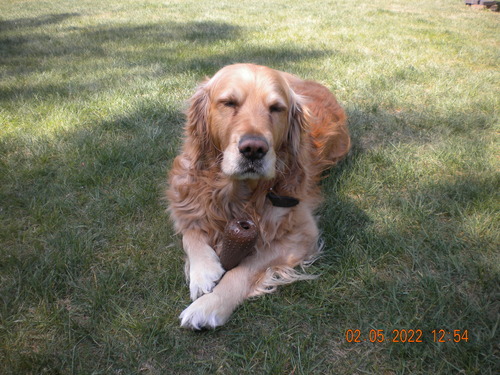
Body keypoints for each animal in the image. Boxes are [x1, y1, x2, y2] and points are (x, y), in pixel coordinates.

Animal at [166, 64, 350, 328]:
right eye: (229, 103)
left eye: (276, 108)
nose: (253, 149)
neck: (240, 193)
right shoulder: (184, 195)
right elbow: (189, 232)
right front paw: (203, 272)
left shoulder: (302, 233)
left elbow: (245, 268)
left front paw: (210, 304)